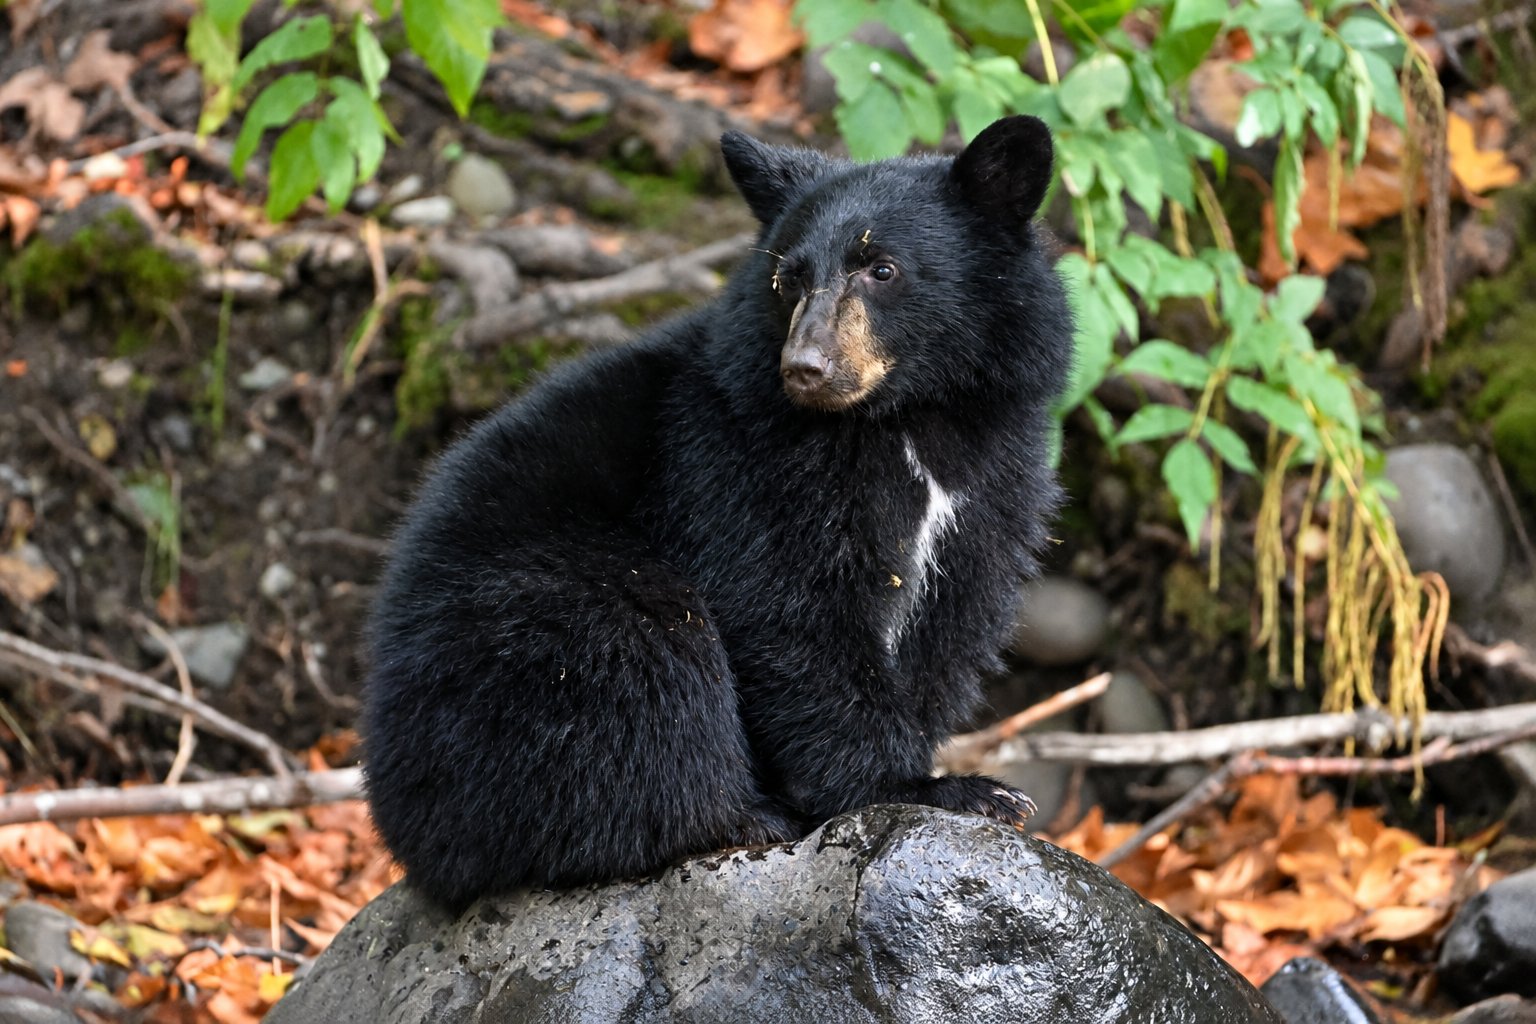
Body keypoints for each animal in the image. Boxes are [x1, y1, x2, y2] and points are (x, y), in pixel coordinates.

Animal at [362, 115, 1074, 910]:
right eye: (788, 276)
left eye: (882, 269)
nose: (805, 369)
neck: (907, 420)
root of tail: (407, 837)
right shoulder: (734, 461)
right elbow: (787, 614)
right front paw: (935, 788)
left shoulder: (993, 480)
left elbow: (950, 623)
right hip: (530, 628)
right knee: (645, 664)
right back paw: (737, 815)